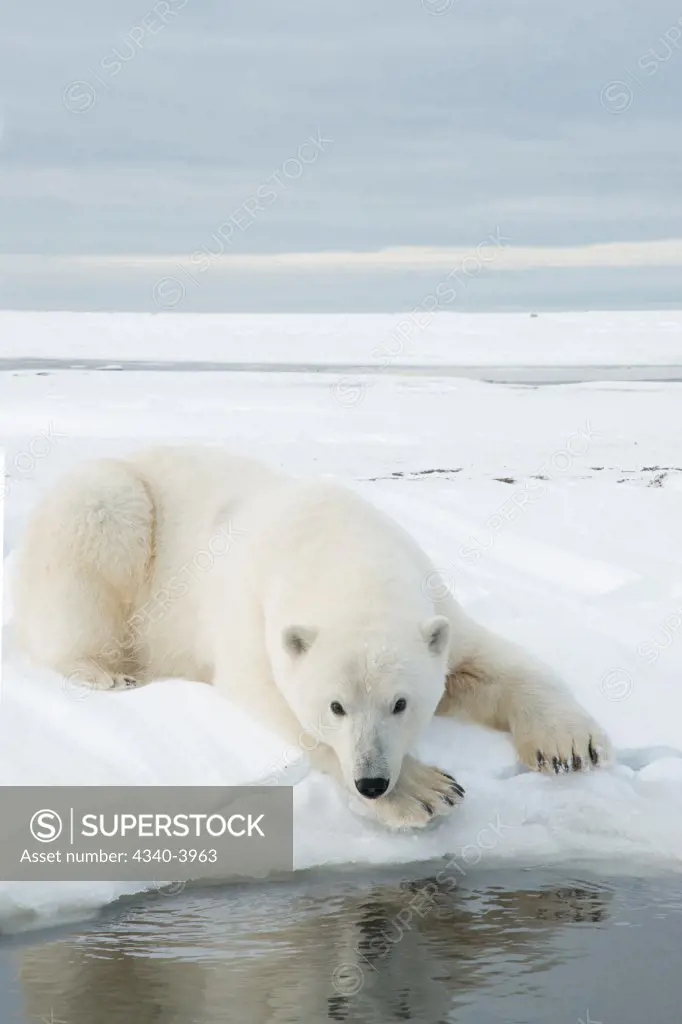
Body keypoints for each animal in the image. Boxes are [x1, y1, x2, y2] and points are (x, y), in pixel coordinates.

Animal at [10, 444, 606, 827]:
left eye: (401, 703)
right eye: (336, 706)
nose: (372, 782)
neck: (344, 553)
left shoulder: (433, 600)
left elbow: (484, 663)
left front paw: (570, 746)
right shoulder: (253, 617)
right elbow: (273, 699)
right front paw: (425, 792)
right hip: (111, 508)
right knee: (97, 537)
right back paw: (106, 672)